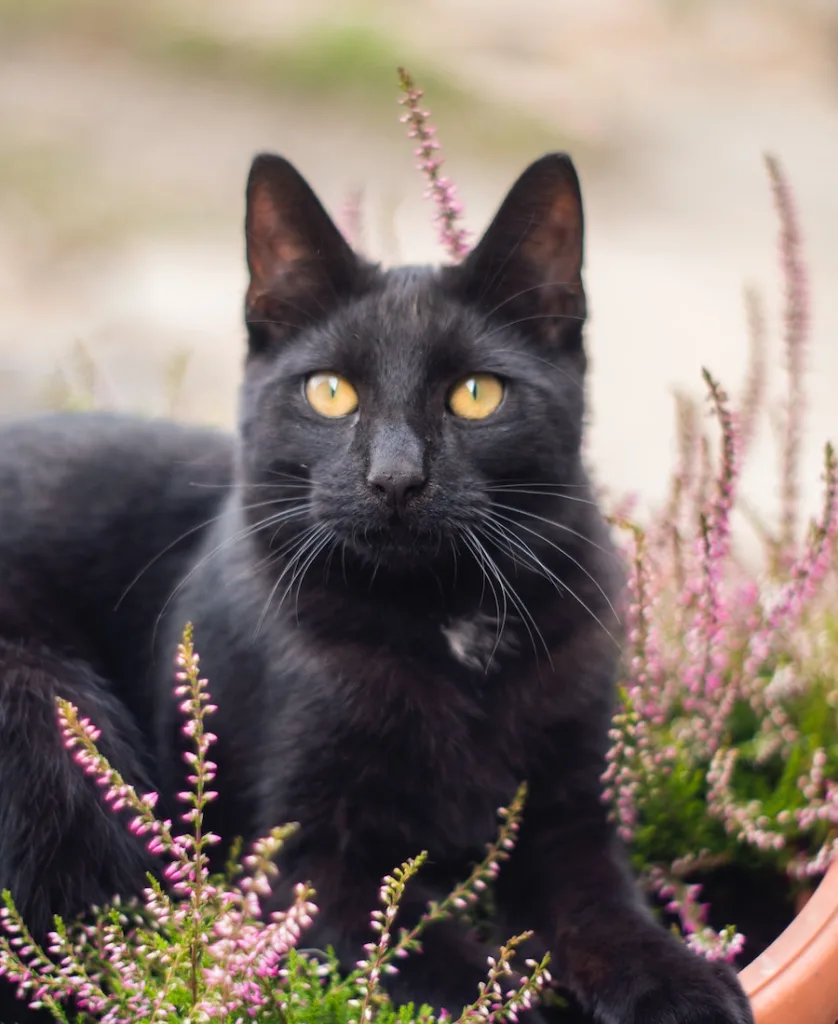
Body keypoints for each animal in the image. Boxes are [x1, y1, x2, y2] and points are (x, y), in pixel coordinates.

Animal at [0, 151, 745, 1024]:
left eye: (477, 394)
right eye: (330, 392)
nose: (395, 477)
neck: (445, 618)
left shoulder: (568, 816)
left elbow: (604, 911)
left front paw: (680, 983)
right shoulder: (297, 857)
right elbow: (416, 946)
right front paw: (522, 1001)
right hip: (43, 712)